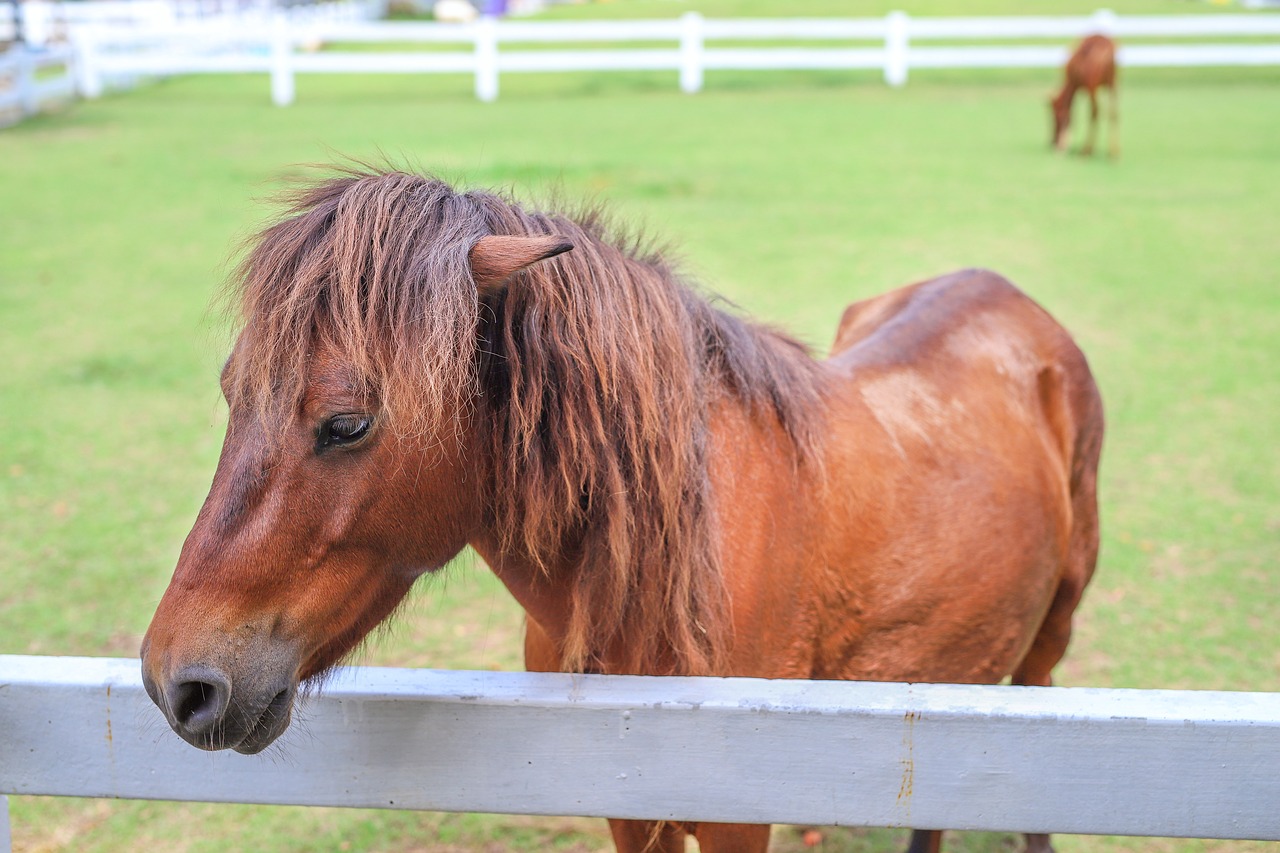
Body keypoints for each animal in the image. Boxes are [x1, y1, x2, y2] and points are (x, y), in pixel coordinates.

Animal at [137, 167, 1100, 850]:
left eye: (347, 423)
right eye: (231, 393)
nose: (177, 682)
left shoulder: (736, 817)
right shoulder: (627, 800)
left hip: (1042, 650)